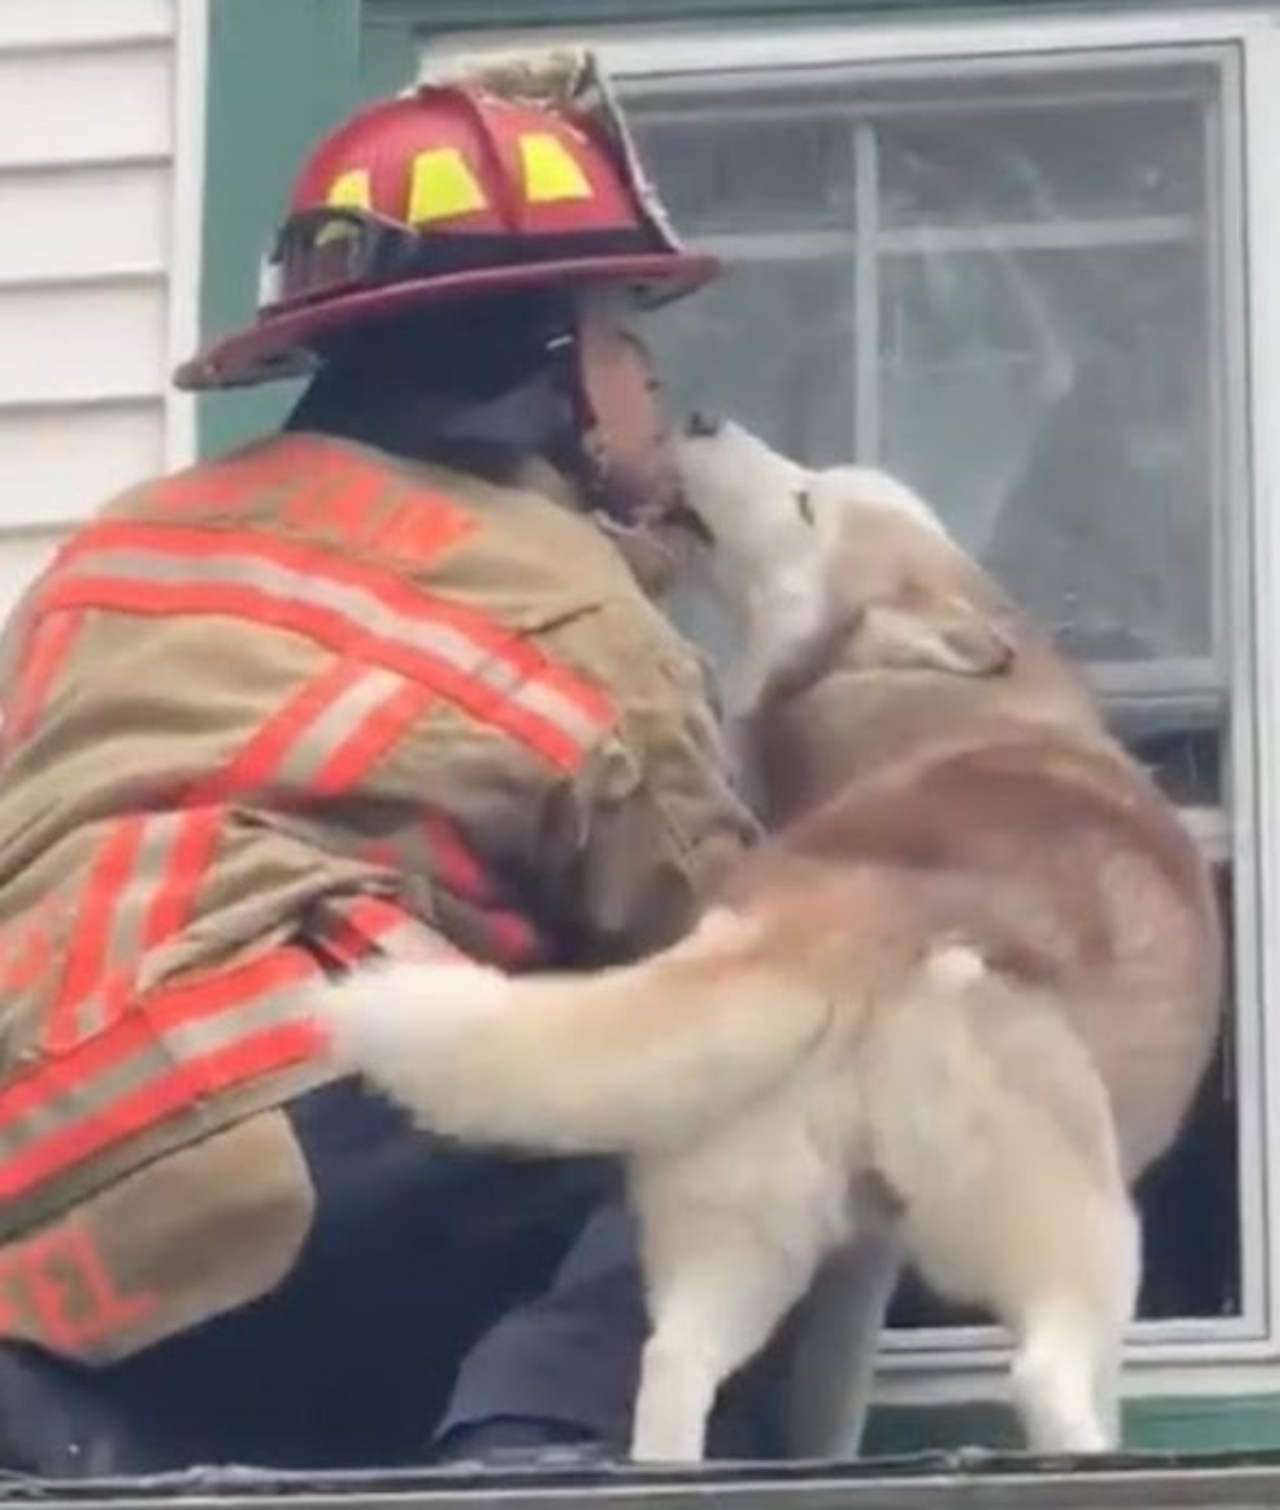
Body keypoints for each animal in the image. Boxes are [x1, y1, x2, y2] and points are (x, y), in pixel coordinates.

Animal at [307, 422, 1219, 1461]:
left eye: (805, 502)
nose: (699, 418)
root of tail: (829, 919)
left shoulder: (860, 1261)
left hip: (745, 1223)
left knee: (673, 1362)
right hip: (1080, 1227)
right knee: (1049, 1373)